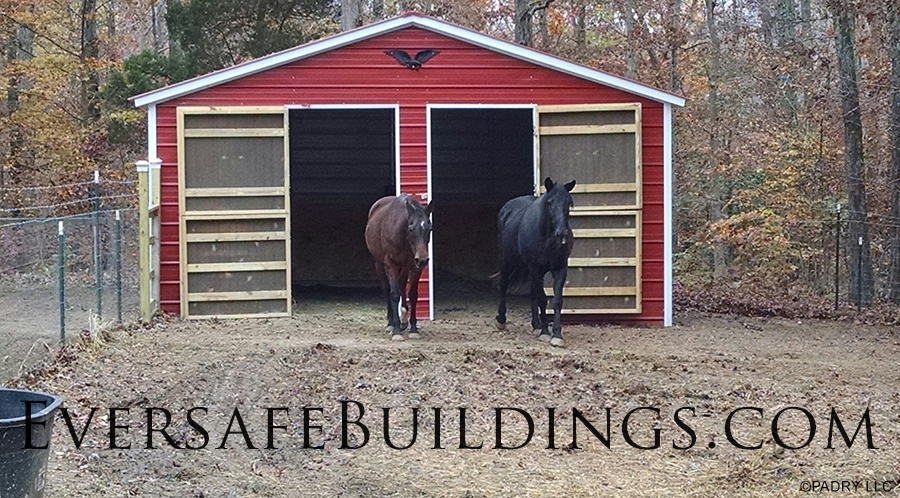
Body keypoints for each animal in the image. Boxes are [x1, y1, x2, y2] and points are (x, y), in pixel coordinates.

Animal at [368, 195, 434, 342]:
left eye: (430, 228)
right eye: (411, 228)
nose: (423, 260)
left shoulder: (415, 268)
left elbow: (413, 295)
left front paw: (413, 329)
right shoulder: (391, 265)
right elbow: (394, 294)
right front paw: (396, 331)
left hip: (404, 267)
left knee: (402, 285)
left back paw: (404, 320)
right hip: (379, 264)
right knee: (387, 289)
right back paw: (391, 323)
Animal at [496, 178, 572, 346]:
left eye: (569, 203)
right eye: (550, 202)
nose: (562, 233)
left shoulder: (560, 268)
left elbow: (557, 301)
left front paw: (557, 335)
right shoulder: (536, 268)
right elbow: (543, 300)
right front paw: (545, 332)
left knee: (533, 293)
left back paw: (536, 324)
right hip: (507, 261)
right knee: (503, 284)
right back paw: (501, 320)